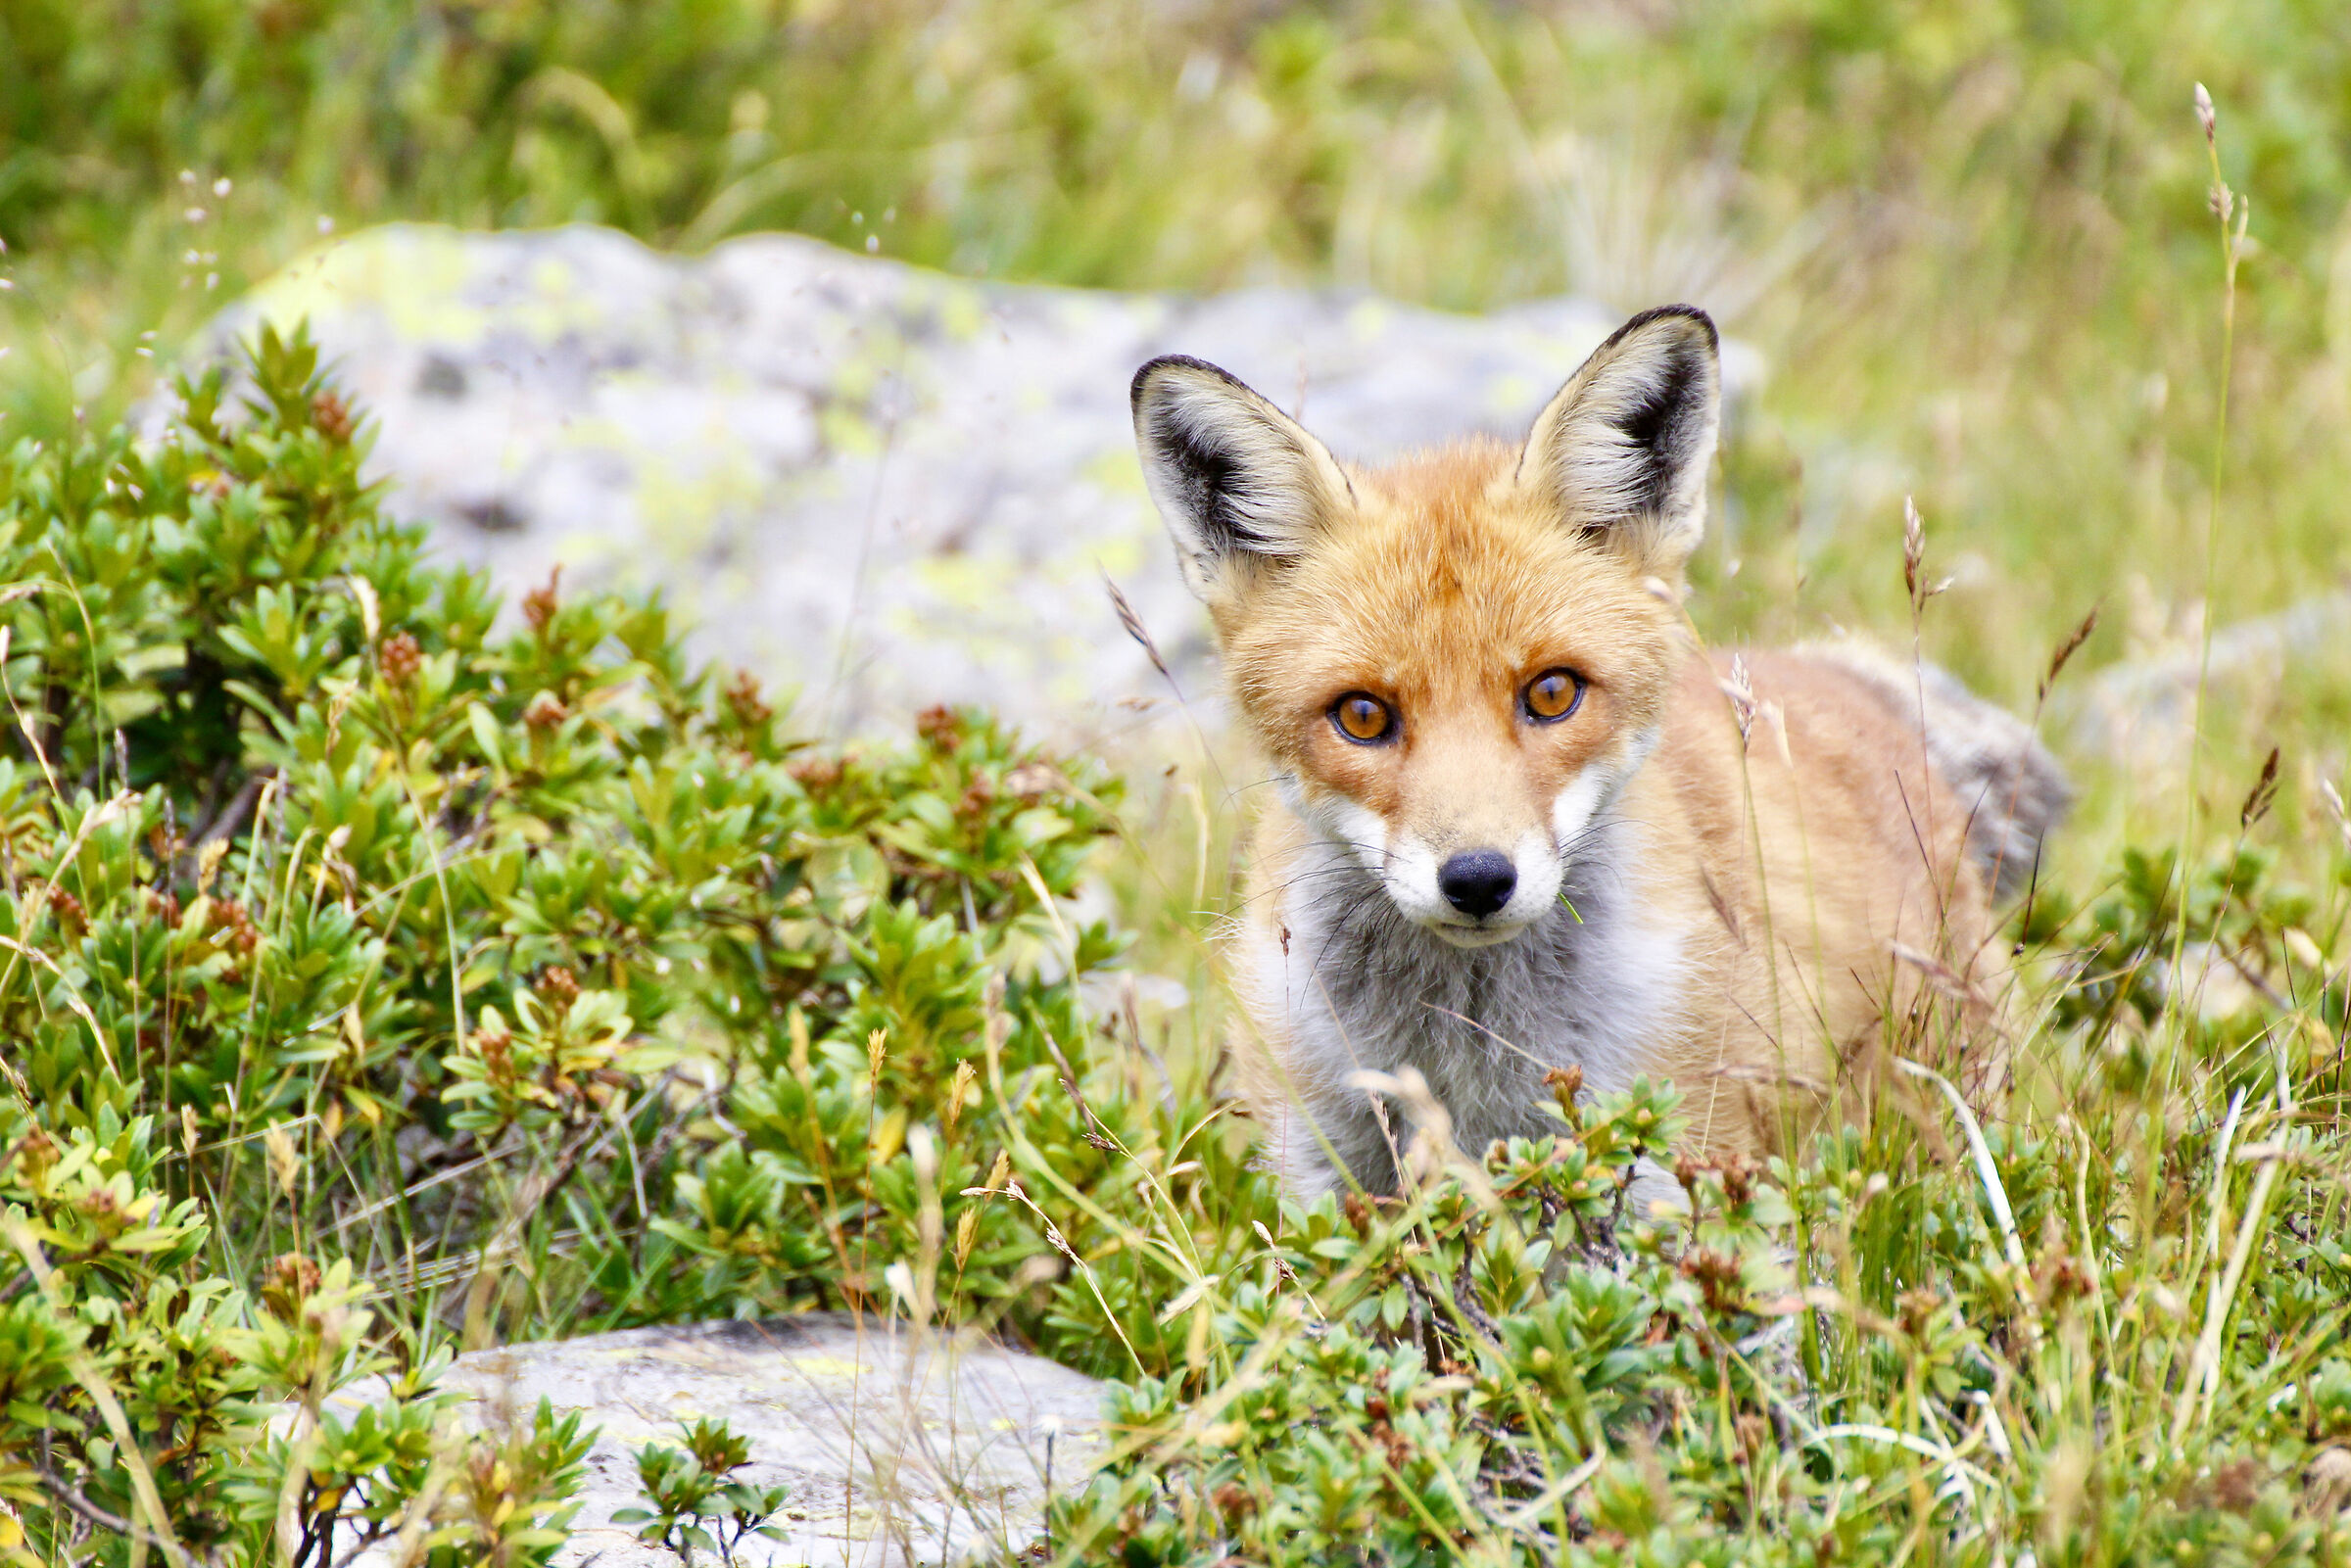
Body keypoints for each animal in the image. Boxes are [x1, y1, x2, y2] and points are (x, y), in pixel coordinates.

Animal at [1129, 305, 2067, 1205]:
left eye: (1552, 693)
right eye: (1362, 715)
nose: (1478, 879)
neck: (1470, 1061)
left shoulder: (1677, 1161)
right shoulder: (1324, 1171)